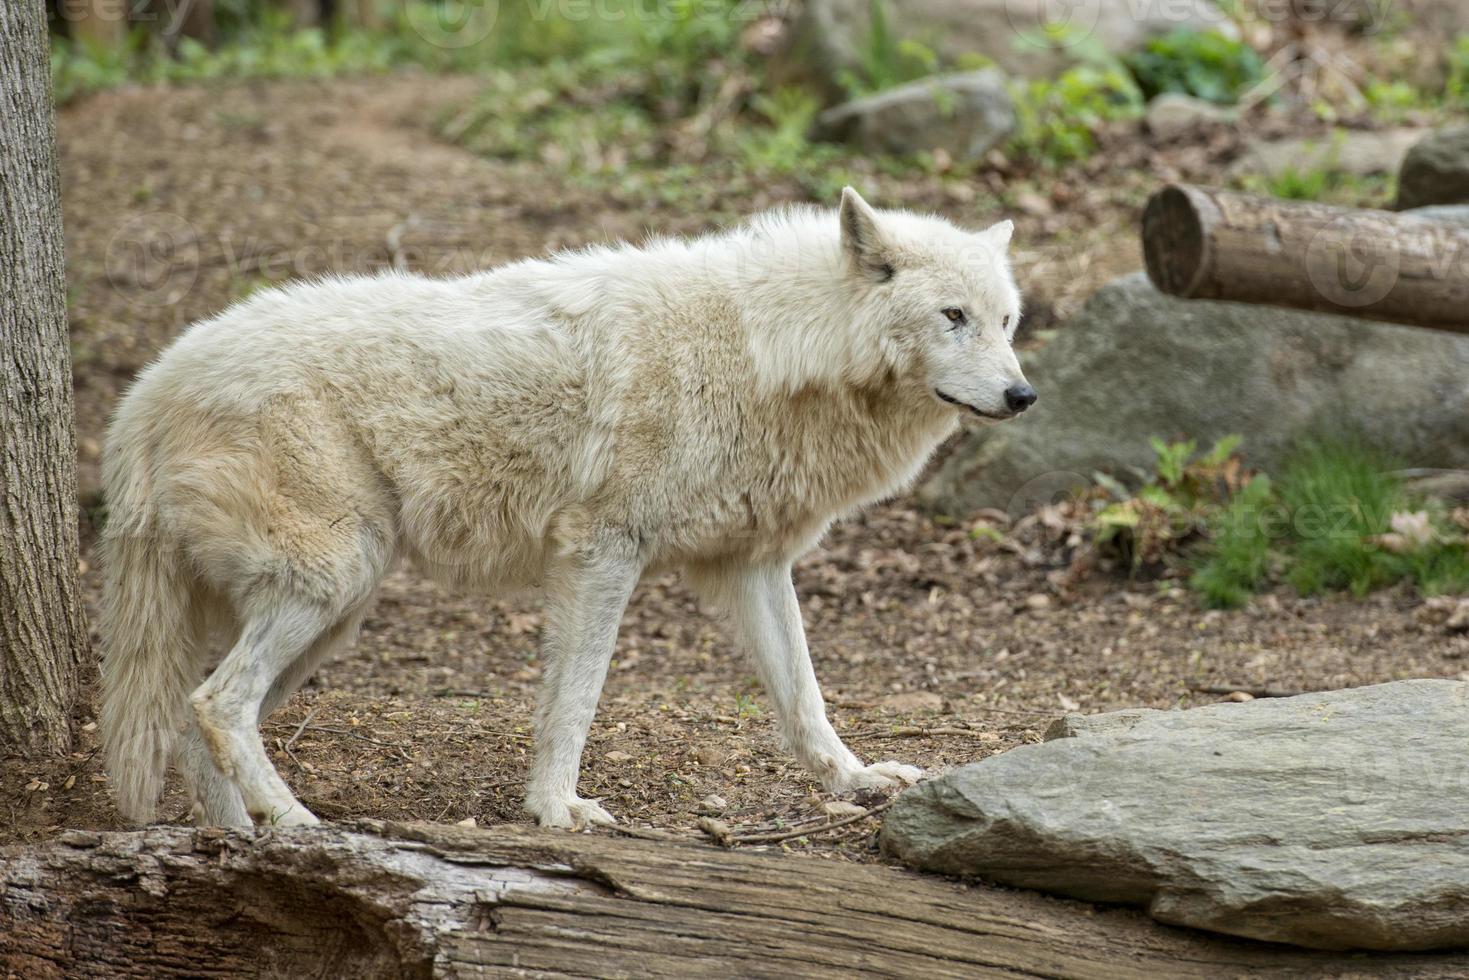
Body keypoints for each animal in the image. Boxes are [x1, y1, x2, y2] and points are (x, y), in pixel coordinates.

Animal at [100, 189, 1034, 828]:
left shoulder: (752, 567)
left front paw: (854, 777)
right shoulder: (601, 551)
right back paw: (293, 822)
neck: (767, 349)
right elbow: (575, 700)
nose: (1023, 395)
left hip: (335, 613)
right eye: (951, 317)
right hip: (333, 584)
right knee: (216, 703)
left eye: (1006, 321)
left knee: (193, 718)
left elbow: (804, 694)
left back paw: (241, 839)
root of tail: (151, 388)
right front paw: (555, 810)